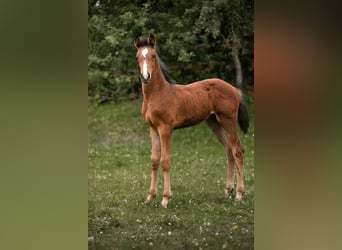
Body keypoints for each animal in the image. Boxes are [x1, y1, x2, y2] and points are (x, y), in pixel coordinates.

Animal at [134, 34, 248, 208]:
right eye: (137, 57)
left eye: (153, 56)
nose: (146, 77)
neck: (157, 94)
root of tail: (234, 89)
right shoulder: (153, 129)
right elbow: (154, 161)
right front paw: (150, 197)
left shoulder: (165, 129)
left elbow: (165, 161)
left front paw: (165, 199)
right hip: (214, 122)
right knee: (229, 151)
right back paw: (227, 191)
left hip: (228, 120)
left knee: (238, 151)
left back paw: (239, 195)